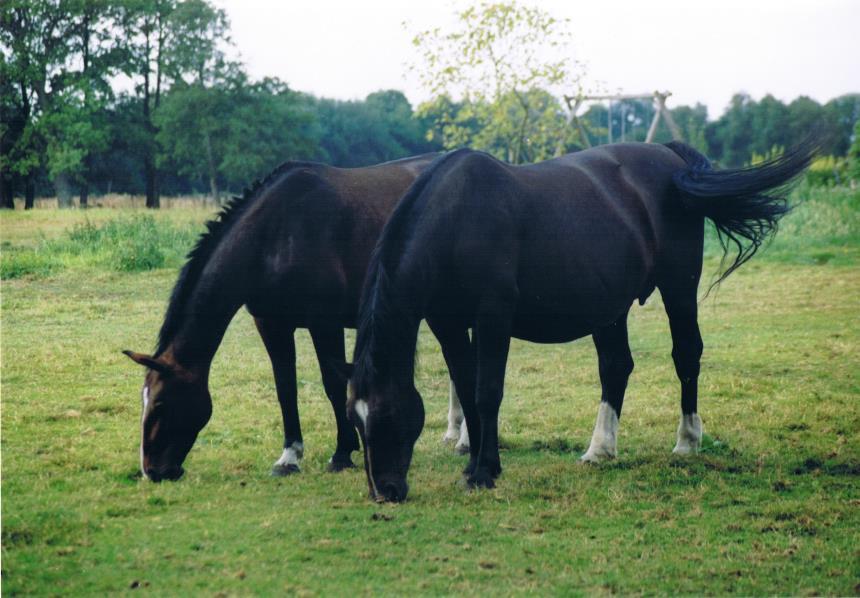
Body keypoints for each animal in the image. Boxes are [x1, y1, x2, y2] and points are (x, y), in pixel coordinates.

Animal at [120, 154, 466, 482]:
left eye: (161, 403)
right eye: (143, 400)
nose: (151, 471)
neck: (275, 235)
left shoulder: (325, 324)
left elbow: (333, 384)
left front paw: (342, 453)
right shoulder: (272, 324)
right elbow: (285, 387)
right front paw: (289, 457)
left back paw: (464, 441)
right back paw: (453, 432)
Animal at [348, 141, 812, 502]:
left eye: (385, 414)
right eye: (355, 419)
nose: (384, 492)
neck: (457, 218)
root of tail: (670, 157)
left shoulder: (493, 317)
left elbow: (486, 392)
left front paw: (484, 472)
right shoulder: (448, 324)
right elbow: (466, 388)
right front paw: (477, 464)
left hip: (679, 287)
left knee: (686, 356)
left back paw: (687, 442)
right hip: (610, 308)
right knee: (616, 367)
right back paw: (600, 450)